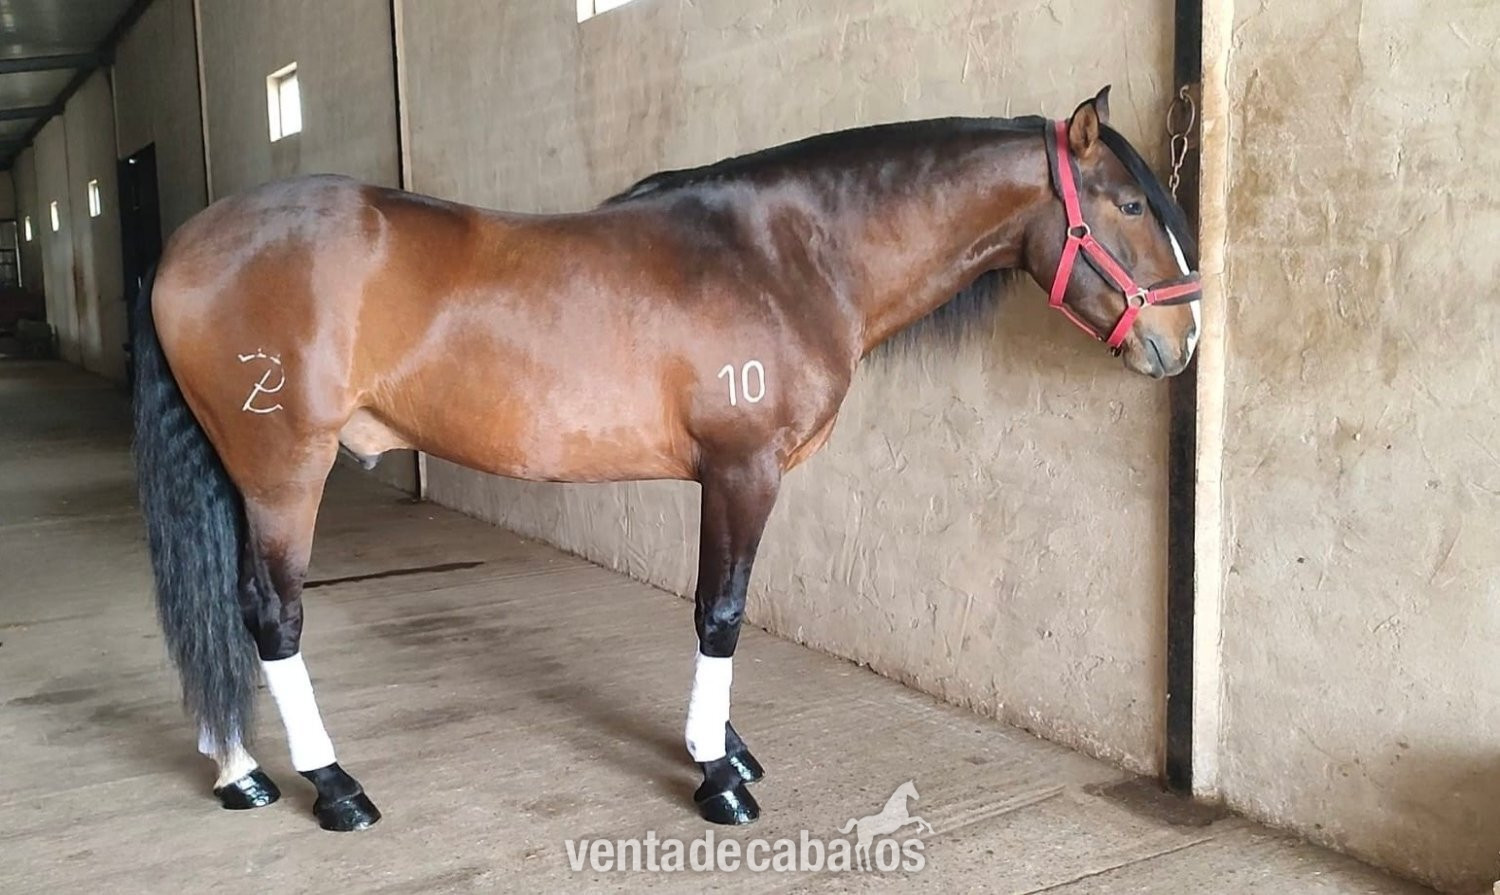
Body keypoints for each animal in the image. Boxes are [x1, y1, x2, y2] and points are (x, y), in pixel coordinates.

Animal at [131, 86, 1200, 832]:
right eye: (1127, 205)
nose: (1182, 342)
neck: (786, 253)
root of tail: (186, 247)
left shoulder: (726, 479)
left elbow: (719, 605)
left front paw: (723, 745)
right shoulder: (742, 471)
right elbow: (719, 614)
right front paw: (718, 775)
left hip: (246, 474)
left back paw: (240, 770)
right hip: (283, 472)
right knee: (272, 616)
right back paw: (333, 785)